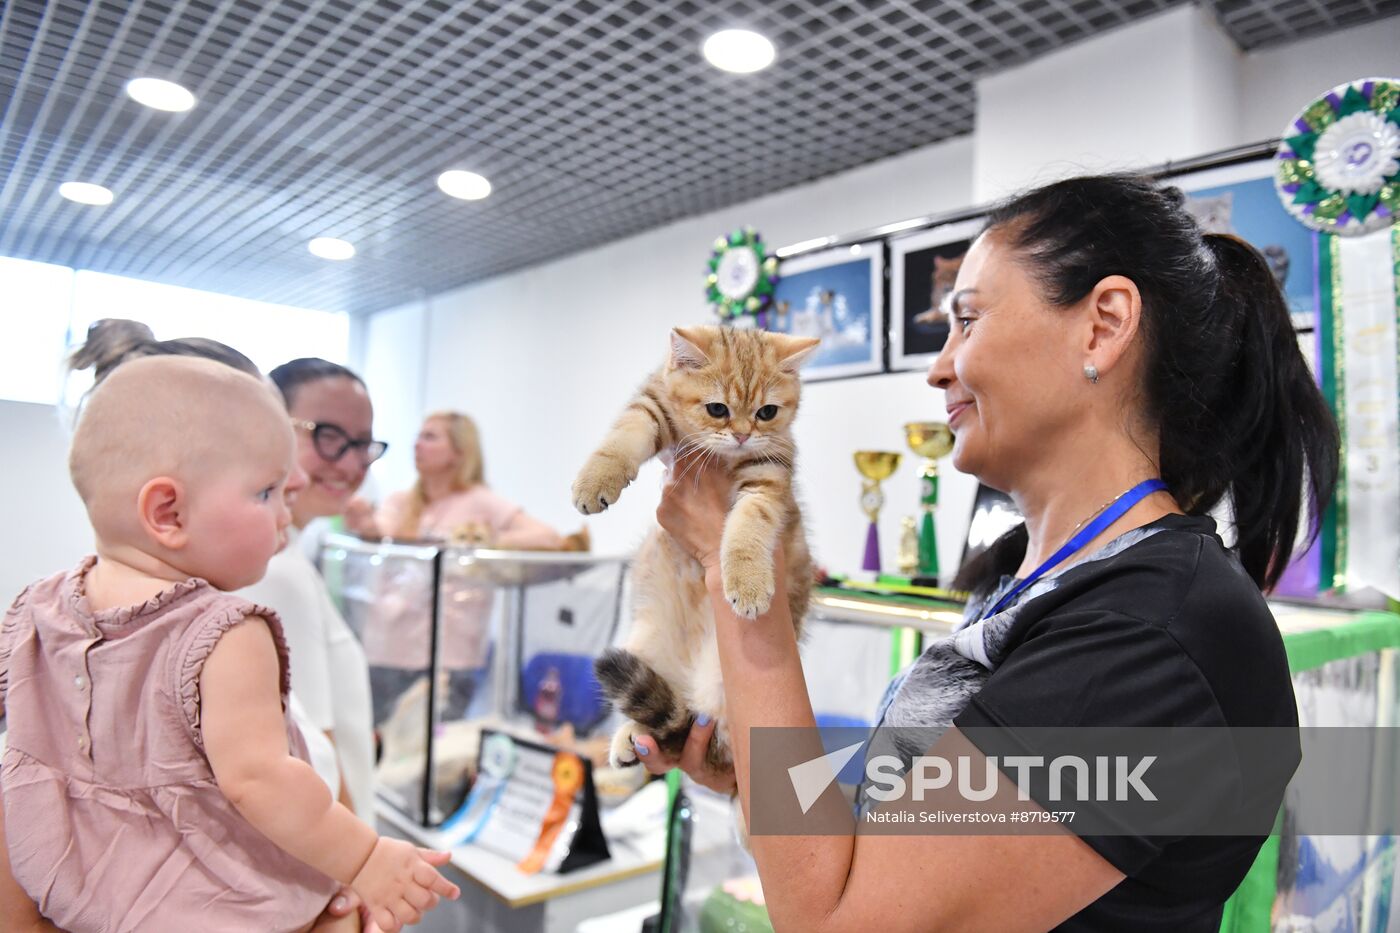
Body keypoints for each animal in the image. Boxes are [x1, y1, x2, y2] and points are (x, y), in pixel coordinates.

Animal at [571, 323, 817, 767]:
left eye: (767, 413)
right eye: (717, 409)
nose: (742, 435)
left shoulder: (769, 470)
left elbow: (748, 526)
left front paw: (747, 581)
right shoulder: (652, 403)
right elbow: (622, 437)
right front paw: (596, 478)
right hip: (643, 645)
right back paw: (629, 738)